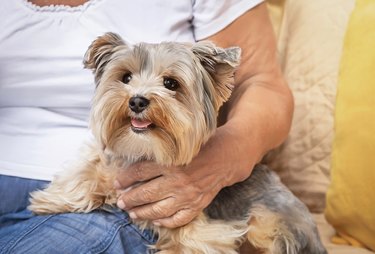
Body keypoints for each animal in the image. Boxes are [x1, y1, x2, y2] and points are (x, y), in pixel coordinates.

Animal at [29, 33, 328, 254]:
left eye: (171, 83)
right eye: (126, 77)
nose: (137, 100)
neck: (145, 149)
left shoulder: (203, 228)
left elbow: (189, 242)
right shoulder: (111, 159)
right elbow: (88, 170)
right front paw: (51, 199)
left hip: (270, 222)